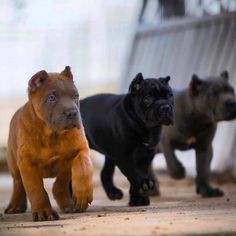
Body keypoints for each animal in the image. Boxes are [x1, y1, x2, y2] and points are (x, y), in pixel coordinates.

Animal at [4, 66, 93, 221]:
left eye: (75, 96)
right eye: (51, 98)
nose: (72, 112)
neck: (51, 134)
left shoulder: (81, 148)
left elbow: (83, 164)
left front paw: (82, 194)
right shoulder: (27, 163)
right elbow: (36, 189)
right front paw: (43, 211)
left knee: (60, 184)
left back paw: (68, 204)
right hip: (14, 163)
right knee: (18, 183)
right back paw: (15, 205)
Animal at [80, 73, 174, 206]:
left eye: (170, 95)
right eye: (148, 97)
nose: (165, 107)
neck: (144, 127)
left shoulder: (146, 156)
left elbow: (140, 172)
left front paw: (138, 198)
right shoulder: (124, 156)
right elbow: (134, 172)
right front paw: (144, 184)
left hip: (110, 155)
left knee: (105, 173)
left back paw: (113, 192)